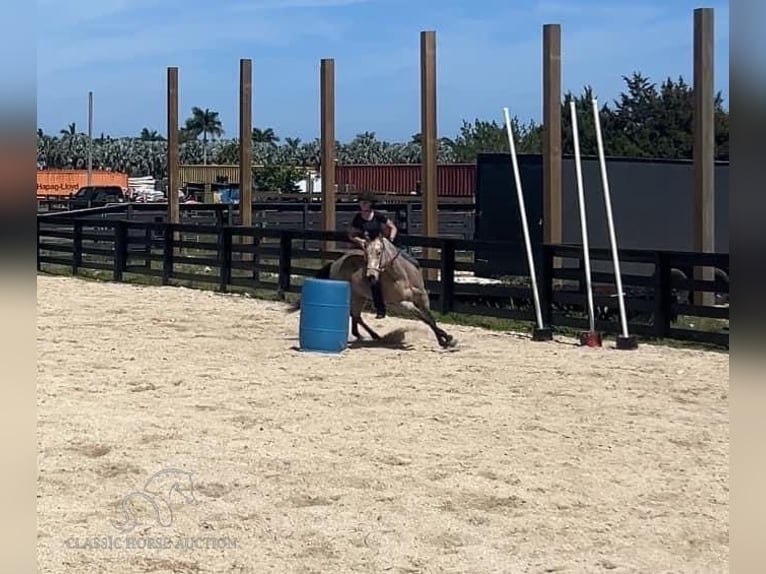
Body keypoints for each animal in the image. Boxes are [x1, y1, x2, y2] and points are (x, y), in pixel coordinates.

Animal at [286, 235, 456, 352]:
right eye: (366, 254)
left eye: (379, 252)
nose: (371, 275)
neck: (402, 276)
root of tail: (335, 263)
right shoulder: (402, 304)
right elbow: (425, 319)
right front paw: (447, 339)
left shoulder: (423, 298)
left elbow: (431, 319)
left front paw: (445, 339)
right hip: (355, 295)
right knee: (355, 315)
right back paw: (374, 336)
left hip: (359, 296)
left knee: (356, 316)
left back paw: (366, 335)